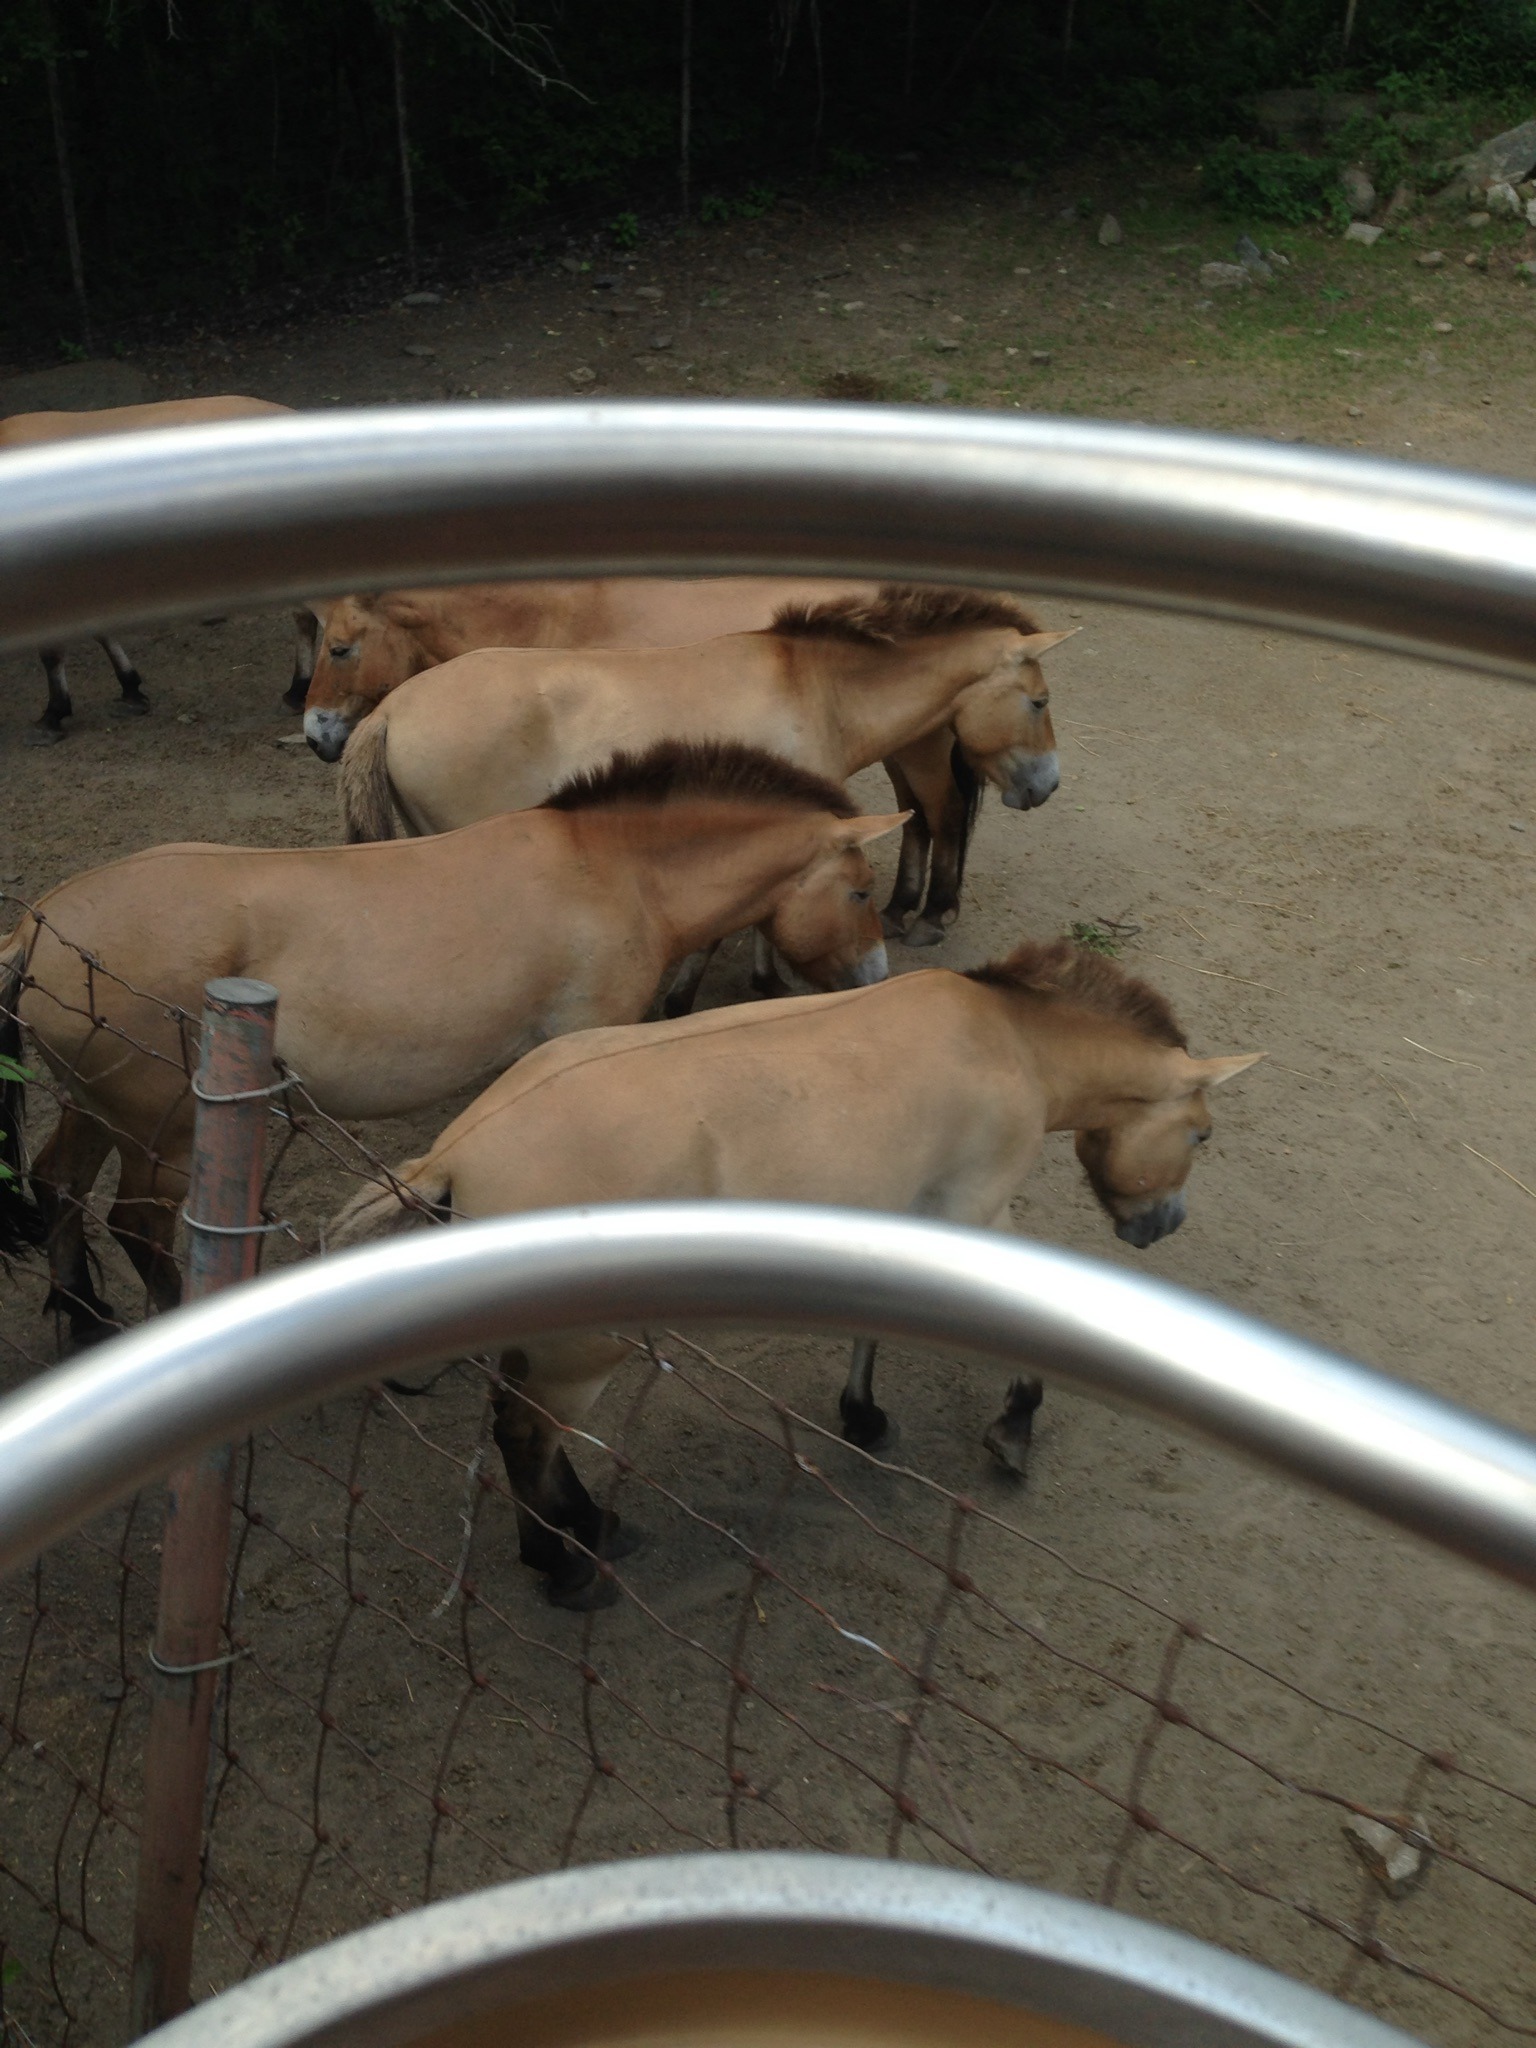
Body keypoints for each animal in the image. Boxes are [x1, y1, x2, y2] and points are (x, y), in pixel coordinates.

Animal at [0, 741, 901, 1347]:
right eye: (861, 891)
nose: (876, 978)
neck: (612, 871)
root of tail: (40, 927)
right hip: (162, 1131)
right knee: (134, 1226)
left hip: (95, 1110)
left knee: (58, 1186)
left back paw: (86, 1320)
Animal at [330, 937, 1264, 1607]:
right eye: (1204, 1134)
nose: (1161, 1227)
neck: (1010, 1040)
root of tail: (458, 1150)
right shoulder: (976, 1216)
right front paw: (1013, 1428)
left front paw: (864, 1417)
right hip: (586, 1350)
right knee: (527, 1436)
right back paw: (565, 1567)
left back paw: (594, 1527)